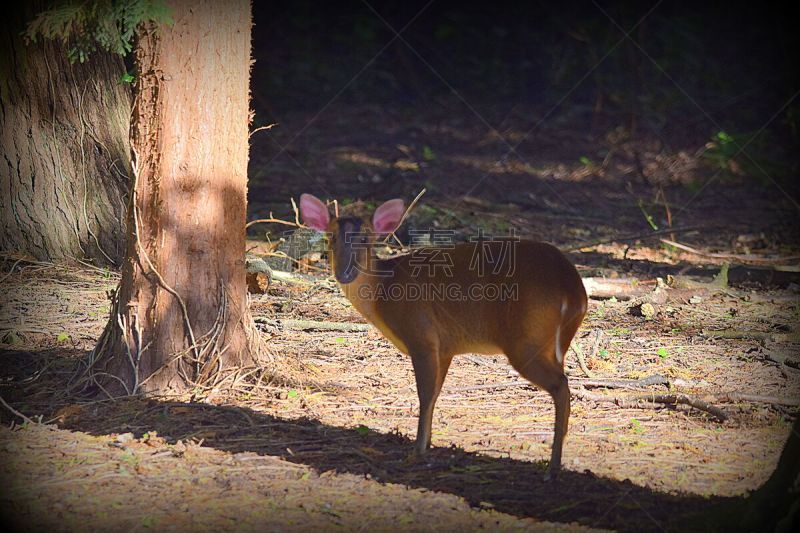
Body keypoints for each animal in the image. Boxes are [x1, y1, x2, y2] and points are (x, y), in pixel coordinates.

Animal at [300, 192, 588, 478]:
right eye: (331, 236)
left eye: (366, 239)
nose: (345, 274)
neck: (382, 290)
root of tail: (573, 289)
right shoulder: (446, 346)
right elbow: (437, 393)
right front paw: (427, 443)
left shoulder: (421, 335)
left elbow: (425, 394)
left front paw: (417, 451)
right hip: (551, 342)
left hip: (526, 338)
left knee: (560, 386)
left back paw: (553, 467)